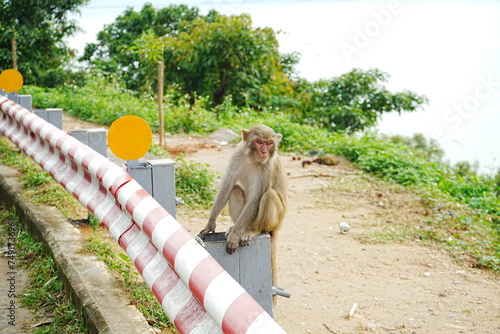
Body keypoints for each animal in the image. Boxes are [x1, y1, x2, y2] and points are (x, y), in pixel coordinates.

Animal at [198, 125, 286, 294]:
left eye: (269, 143)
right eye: (259, 142)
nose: (264, 152)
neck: (252, 159)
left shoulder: (268, 166)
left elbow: (256, 199)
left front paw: (234, 236)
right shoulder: (237, 154)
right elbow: (228, 187)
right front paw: (211, 223)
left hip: (277, 220)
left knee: (269, 195)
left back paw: (253, 231)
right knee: (236, 191)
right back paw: (237, 228)